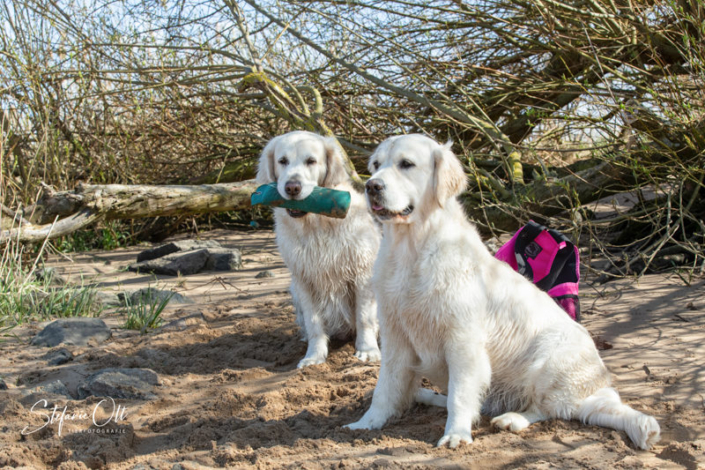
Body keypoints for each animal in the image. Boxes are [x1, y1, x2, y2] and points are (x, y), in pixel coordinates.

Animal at [257, 131, 381, 368]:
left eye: (311, 161)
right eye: (282, 161)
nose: (292, 187)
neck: (317, 225)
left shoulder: (362, 272)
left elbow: (364, 317)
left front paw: (368, 350)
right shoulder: (304, 279)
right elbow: (314, 322)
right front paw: (314, 357)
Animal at [345, 134, 660, 450]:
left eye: (406, 164)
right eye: (376, 165)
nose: (371, 186)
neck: (411, 249)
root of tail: (595, 387)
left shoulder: (463, 340)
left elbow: (460, 395)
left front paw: (456, 434)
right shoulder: (395, 335)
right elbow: (384, 388)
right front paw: (366, 424)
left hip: (549, 357)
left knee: (551, 408)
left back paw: (513, 419)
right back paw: (427, 396)